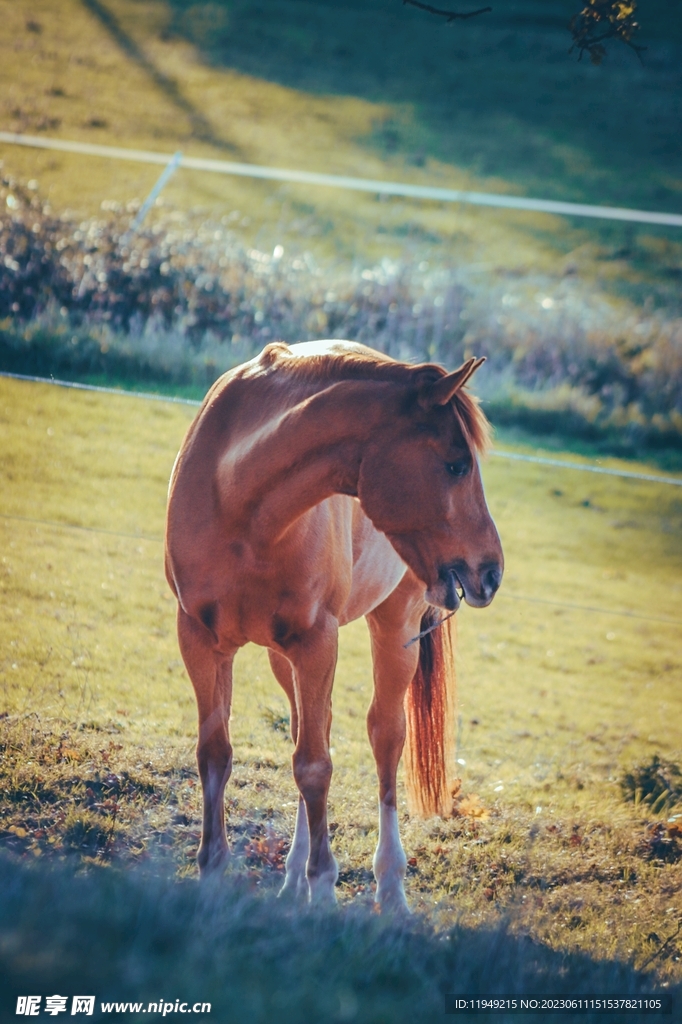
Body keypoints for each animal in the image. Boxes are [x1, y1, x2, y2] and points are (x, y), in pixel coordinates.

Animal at [165, 340, 503, 912]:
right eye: (457, 465)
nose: (493, 570)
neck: (237, 500)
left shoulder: (316, 642)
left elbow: (315, 766)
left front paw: (323, 888)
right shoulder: (201, 640)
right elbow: (217, 754)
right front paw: (213, 872)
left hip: (392, 629)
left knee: (384, 738)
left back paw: (389, 888)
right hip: (282, 656)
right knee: (308, 730)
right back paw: (292, 879)